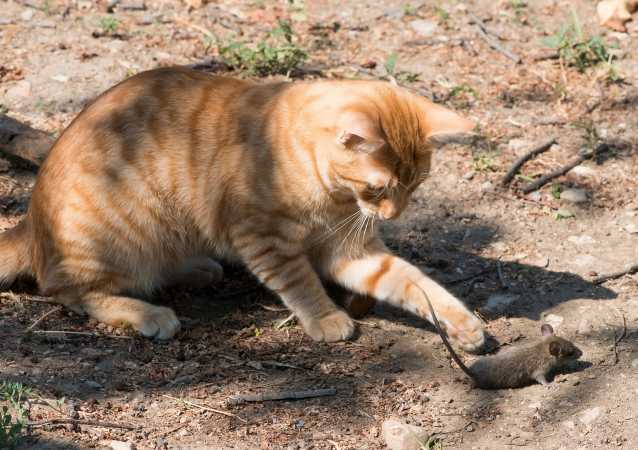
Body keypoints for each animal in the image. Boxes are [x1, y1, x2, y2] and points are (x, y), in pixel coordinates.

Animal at [0, 66, 488, 352]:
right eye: (379, 187)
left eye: (416, 184)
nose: (393, 216)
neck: (330, 195)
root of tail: (29, 224)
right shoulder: (263, 238)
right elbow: (301, 282)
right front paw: (326, 317)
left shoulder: (353, 251)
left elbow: (414, 283)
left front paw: (461, 323)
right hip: (121, 238)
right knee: (68, 291)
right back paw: (149, 314)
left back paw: (196, 269)